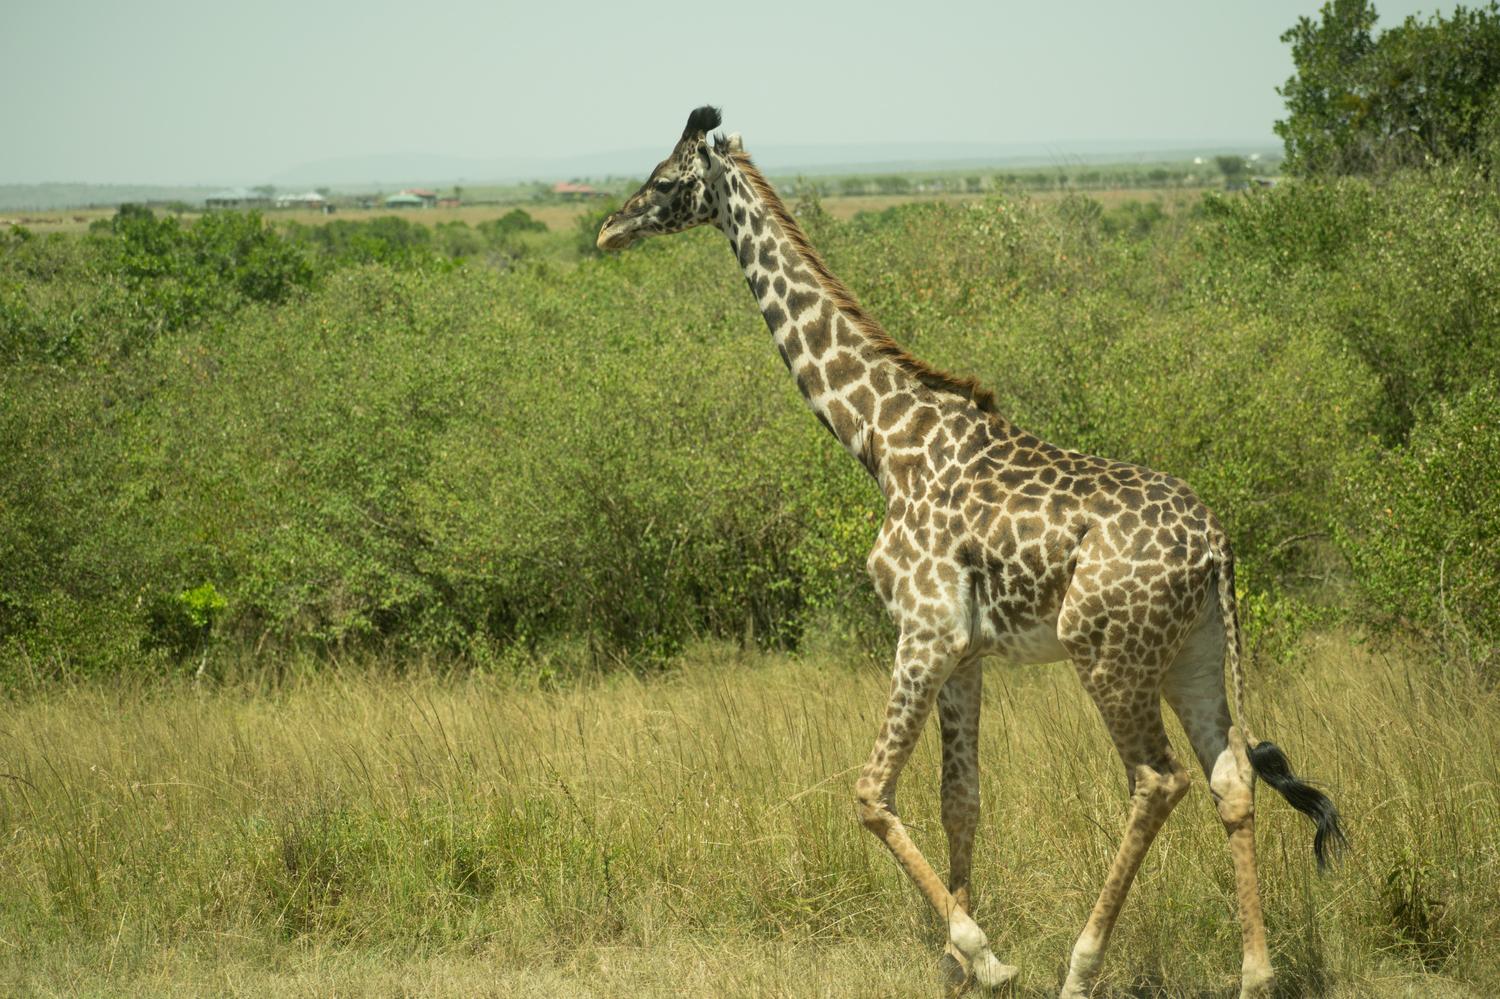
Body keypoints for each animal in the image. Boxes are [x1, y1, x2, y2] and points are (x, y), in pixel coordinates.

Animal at [597, 106, 1345, 998]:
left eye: (664, 180)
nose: (608, 229)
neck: (884, 440)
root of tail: (1218, 547)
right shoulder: (967, 651)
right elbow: (962, 799)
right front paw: (956, 959)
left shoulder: (924, 631)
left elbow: (870, 792)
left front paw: (983, 952)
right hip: (1191, 654)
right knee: (1230, 777)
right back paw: (1255, 972)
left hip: (1109, 654)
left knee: (1156, 780)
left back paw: (1082, 964)